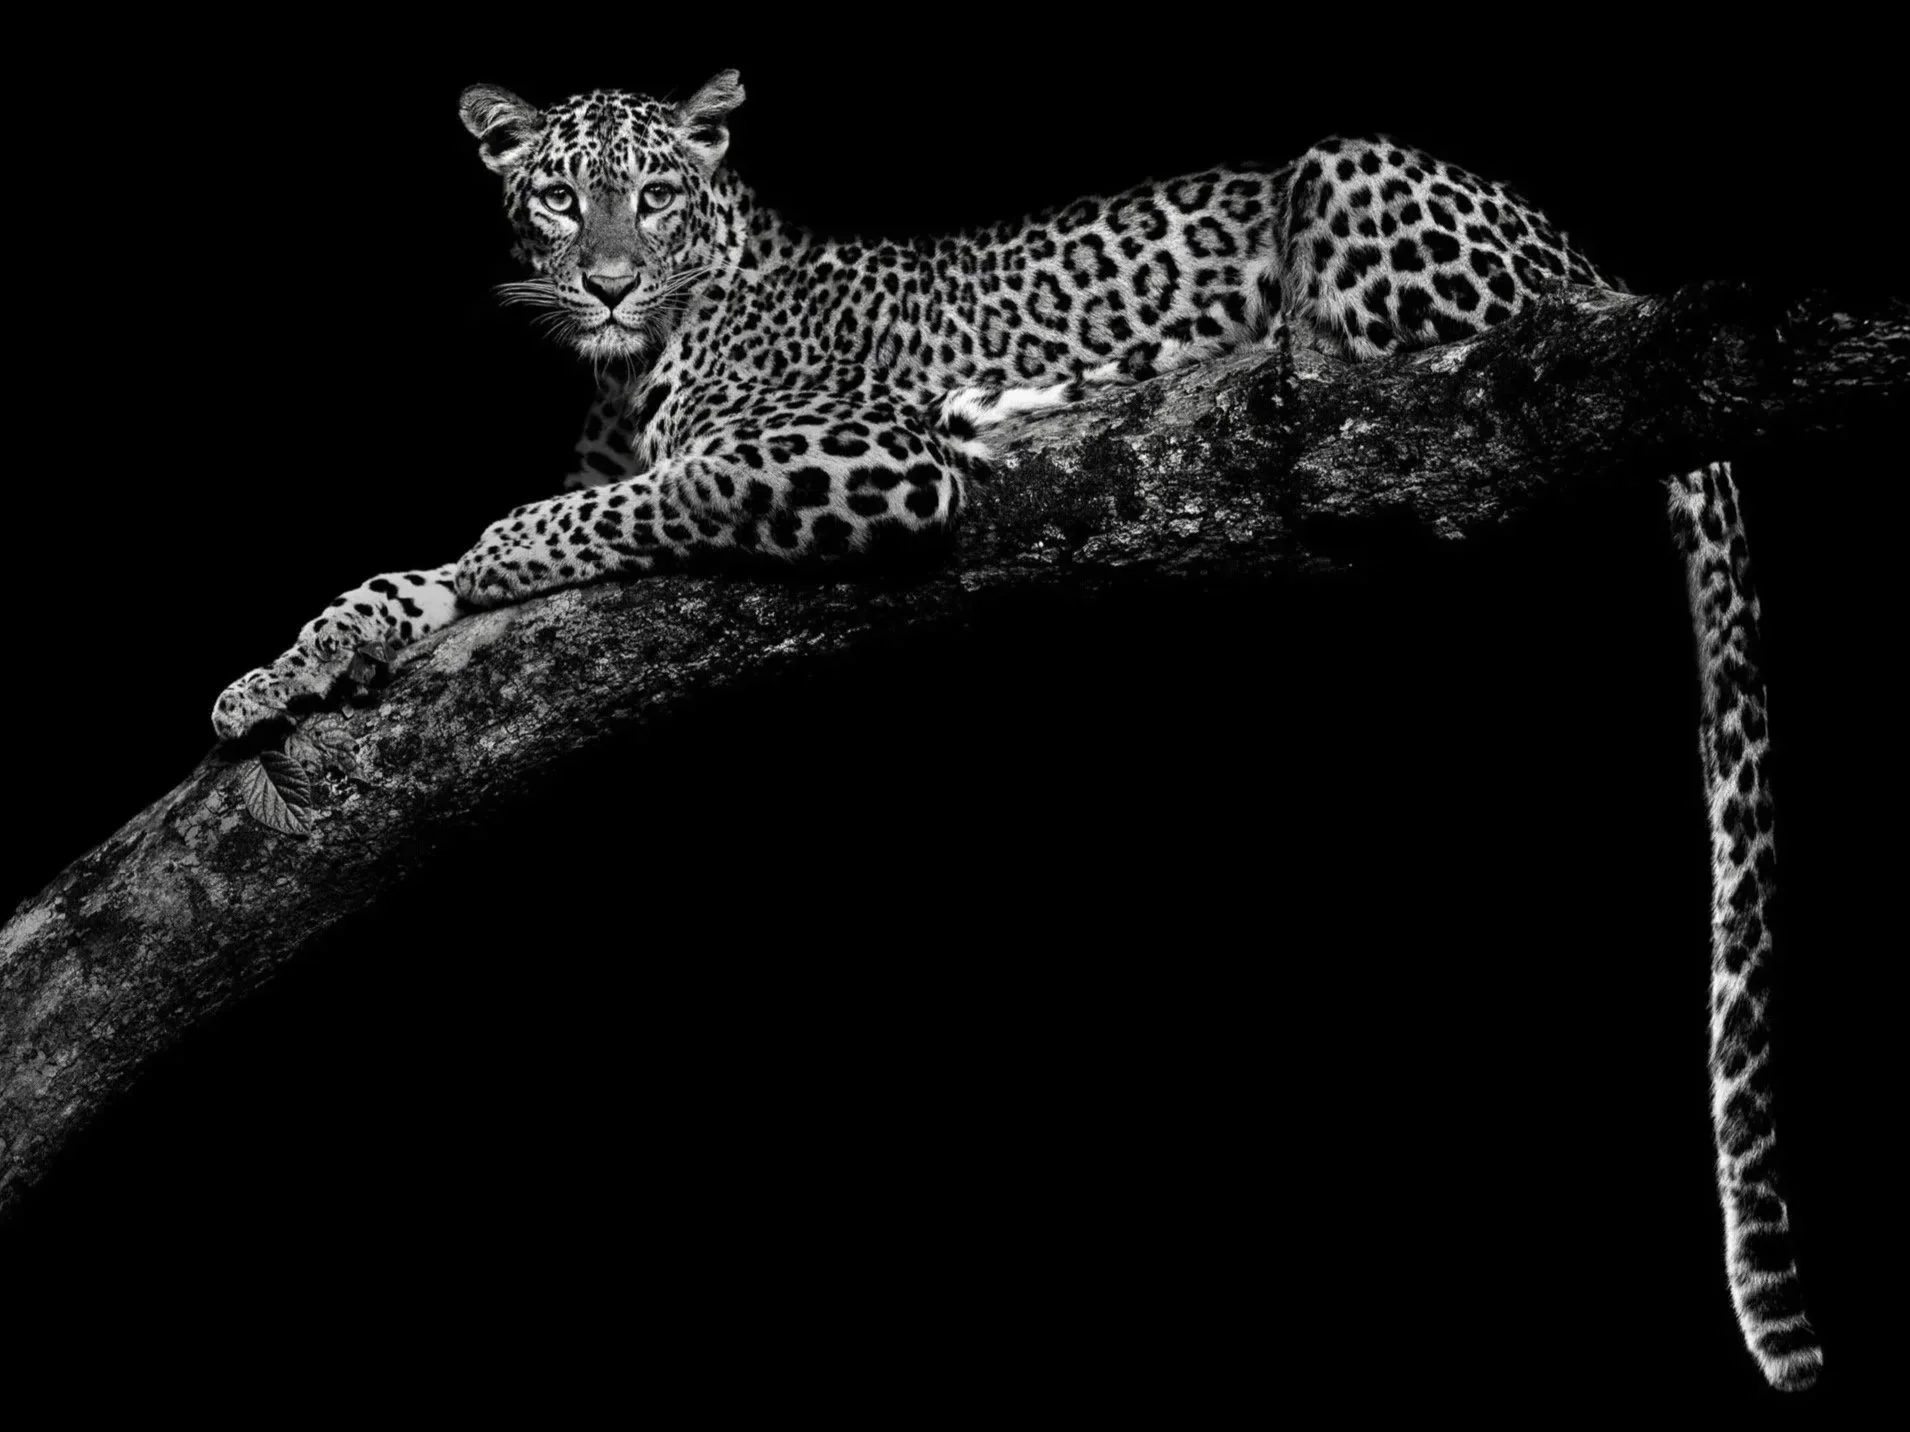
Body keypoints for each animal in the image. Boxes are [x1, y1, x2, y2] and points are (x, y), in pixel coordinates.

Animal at [208, 71, 1822, 1391]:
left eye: (654, 195)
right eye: (559, 193)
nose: (606, 281)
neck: (639, 354)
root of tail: (1603, 269)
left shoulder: (863, 459)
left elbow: (608, 502)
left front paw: (493, 550)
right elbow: (406, 578)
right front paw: (278, 674)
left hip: (1347, 174)